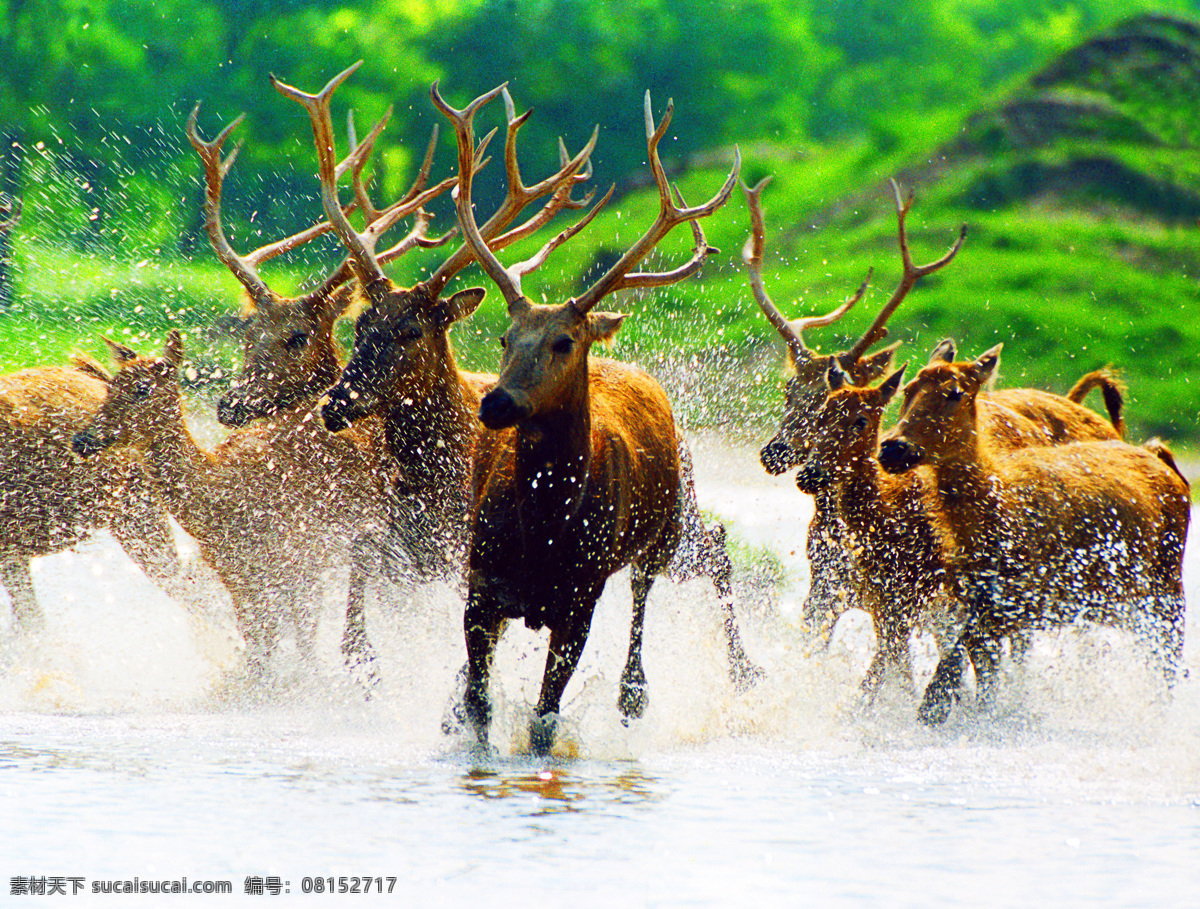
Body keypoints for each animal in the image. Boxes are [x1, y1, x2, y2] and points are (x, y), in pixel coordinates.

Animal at [72, 331, 390, 680]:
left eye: (143, 389)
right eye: (111, 385)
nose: (83, 440)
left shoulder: (298, 559)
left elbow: (299, 641)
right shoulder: (236, 576)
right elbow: (260, 647)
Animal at [436, 81, 753, 754]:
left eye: (563, 342)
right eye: (503, 338)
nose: (496, 403)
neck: (543, 529)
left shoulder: (579, 599)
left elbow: (544, 718)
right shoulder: (480, 583)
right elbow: (478, 705)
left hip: (666, 530)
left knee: (649, 599)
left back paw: (645, 692)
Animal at [878, 346, 1190, 725]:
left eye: (954, 392)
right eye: (908, 389)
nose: (893, 448)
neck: (991, 512)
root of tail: (1165, 463)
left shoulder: (1029, 599)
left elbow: (962, 658)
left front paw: (933, 707)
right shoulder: (977, 600)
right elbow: (981, 667)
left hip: (1167, 587)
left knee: (1168, 657)